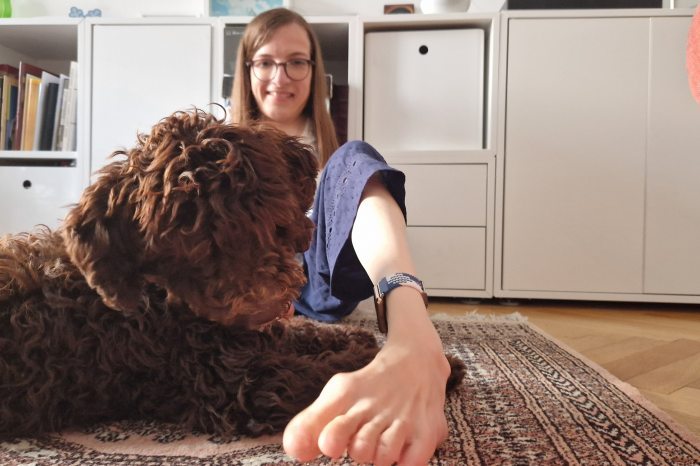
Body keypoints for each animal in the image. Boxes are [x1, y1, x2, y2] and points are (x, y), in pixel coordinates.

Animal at [0, 109, 464, 440]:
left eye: (265, 212)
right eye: (180, 244)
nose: (263, 301)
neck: (160, 301)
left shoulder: (253, 335)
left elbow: (299, 332)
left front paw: (355, 337)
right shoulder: (237, 386)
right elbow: (321, 371)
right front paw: (427, 365)